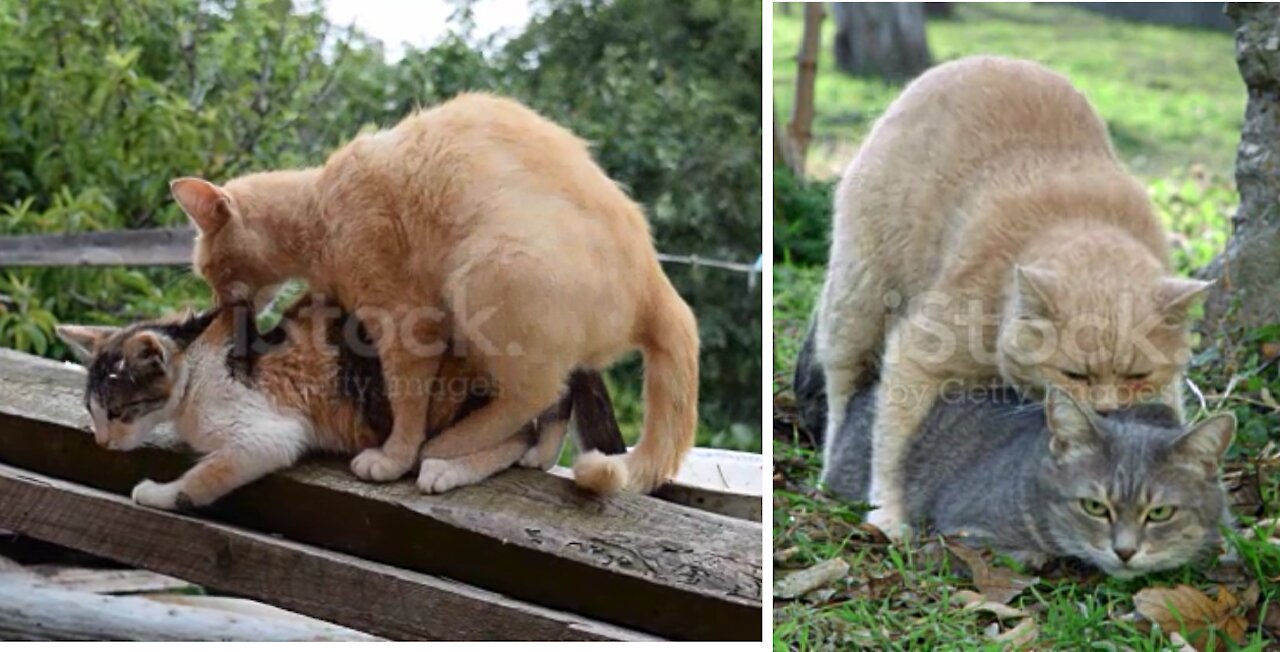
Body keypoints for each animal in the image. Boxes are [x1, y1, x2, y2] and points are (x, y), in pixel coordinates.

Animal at [55, 294, 624, 507]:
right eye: (92, 412)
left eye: (118, 411)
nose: (102, 441)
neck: (198, 368)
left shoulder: (267, 433)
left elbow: (206, 476)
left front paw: (158, 492)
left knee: (516, 429)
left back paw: (449, 467)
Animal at [168, 91, 701, 491]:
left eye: (209, 270)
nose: (218, 303)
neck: (318, 208)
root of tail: (658, 287)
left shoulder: (406, 324)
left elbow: (407, 403)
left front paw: (393, 458)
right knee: (556, 393)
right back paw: (536, 454)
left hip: (488, 273)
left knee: (531, 397)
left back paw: (449, 447)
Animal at [808, 56, 1208, 535]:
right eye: (1075, 375)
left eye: (1137, 375)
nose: (1108, 411)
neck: (1082, 215)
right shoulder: (915, 355)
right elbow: (893, 445)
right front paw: (888, 514)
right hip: (858, 299)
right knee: (841, 389)